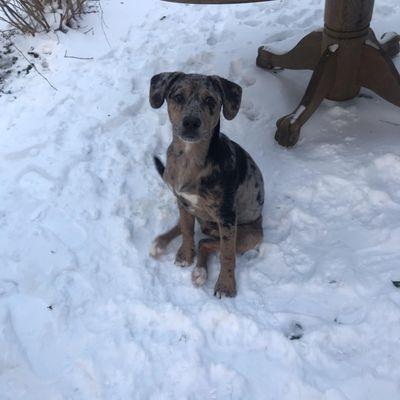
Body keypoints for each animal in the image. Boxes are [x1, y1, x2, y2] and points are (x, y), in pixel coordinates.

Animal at [148, 72, 264, 296]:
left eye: (210, 100)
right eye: (178, 96)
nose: (191, 123)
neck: (190, 159)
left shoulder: (227, 218)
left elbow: (227, 254)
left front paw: (226, 285)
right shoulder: (183, 201)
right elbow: (186, 230)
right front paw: (186, 254)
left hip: (249, 235)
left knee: (206, 242)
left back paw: (200, 272)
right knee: (190, 230)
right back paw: (162, 243)